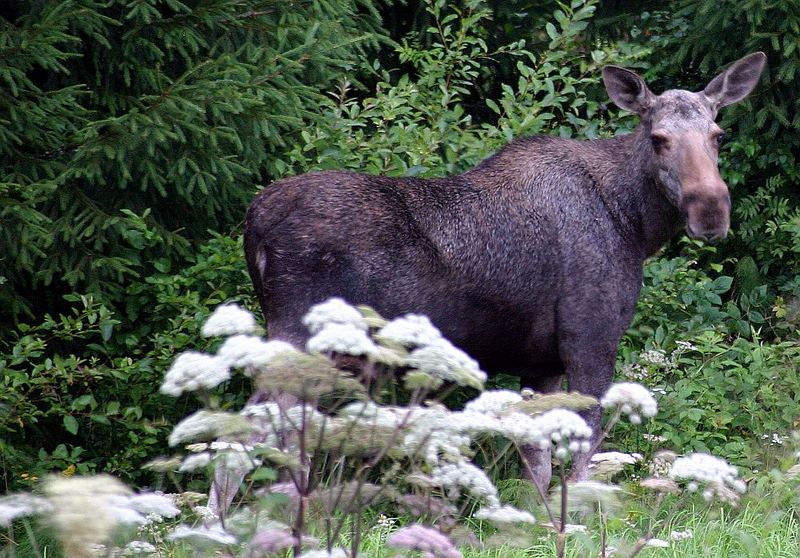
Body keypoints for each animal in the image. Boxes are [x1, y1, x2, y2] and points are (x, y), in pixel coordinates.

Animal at [245, 53, 768, 490]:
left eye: (718, 136)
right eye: (659, 139)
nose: (710, 209)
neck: (635, 224)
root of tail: (254, 226)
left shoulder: (541, 362)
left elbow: (537, 465)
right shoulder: (590, 339)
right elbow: (582, 458)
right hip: (298, 337)